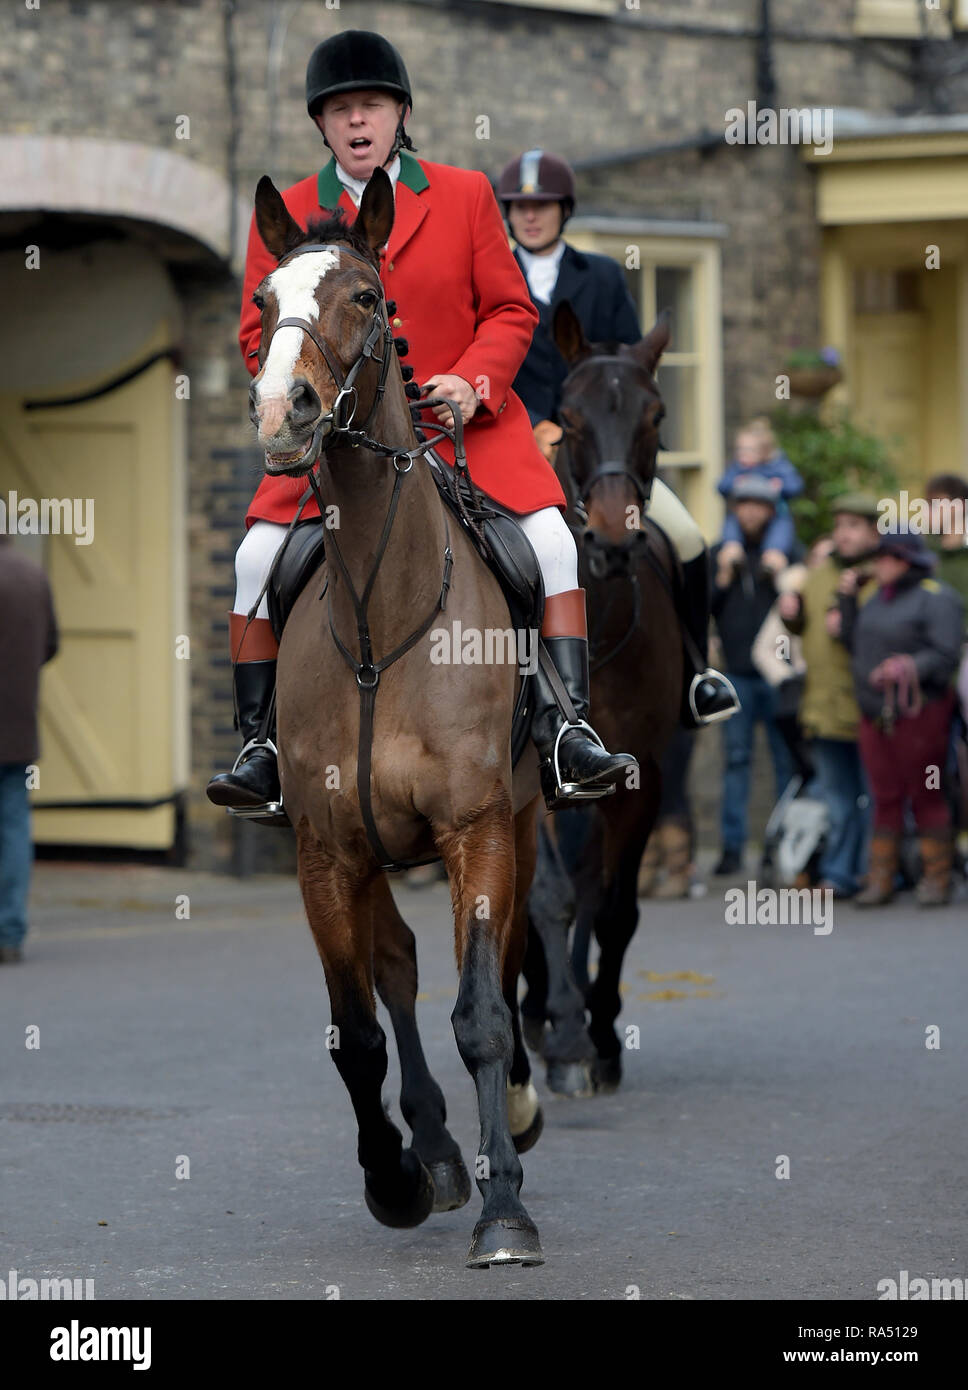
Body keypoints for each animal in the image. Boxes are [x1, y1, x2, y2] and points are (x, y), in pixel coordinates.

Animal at [246, 170, 539, 1273]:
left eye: (367, 296)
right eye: (261, 300)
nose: (280, 412)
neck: (383, 621)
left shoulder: (477, 828)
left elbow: (483, 1010)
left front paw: (506, 1210)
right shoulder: (326, 851)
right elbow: (358, 1028)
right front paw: (396, 1175)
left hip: (526, 819)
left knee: (499, 965)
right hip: (370, 851)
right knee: (398, 971)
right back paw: (438, 1149)